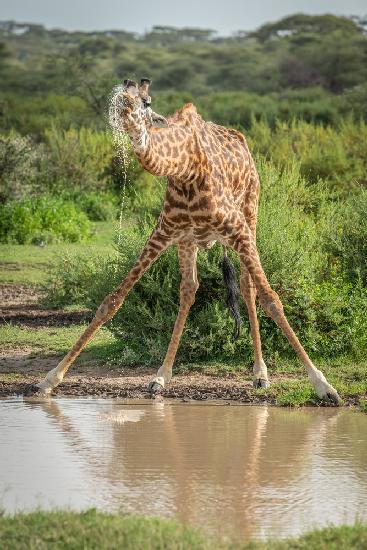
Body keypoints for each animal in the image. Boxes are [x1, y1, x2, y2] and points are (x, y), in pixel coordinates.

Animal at [34, 78, 342, 406]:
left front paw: (324, 386)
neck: (184, 167)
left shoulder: (237, 229)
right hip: (189, 241)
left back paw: (260, 374)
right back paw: (161, 376)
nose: (124, 104)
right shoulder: (164, 232)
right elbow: (112, 301)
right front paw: (49, 380)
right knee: (189, 290)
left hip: (250, 213)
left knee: (248, 286)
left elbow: (272, 299)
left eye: (146, 101)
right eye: (122, 93)